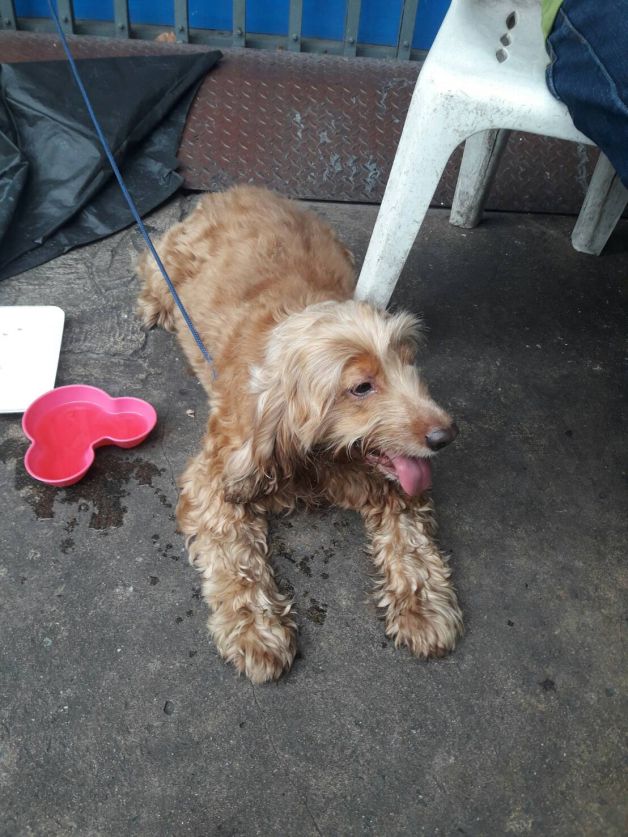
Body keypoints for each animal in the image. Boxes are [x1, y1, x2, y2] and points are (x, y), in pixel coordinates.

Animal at [136, 185, 462, 683]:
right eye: (361, 386)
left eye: (409, 363)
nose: (445, 436)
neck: (321, 456)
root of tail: (233, 189)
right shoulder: (217, 475)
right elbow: (235, 556)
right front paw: (255, 630)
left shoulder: (392, 480)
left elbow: (410, 540)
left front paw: (422, 608)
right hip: (170, 259)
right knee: (151, 265)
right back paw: (157, 305)